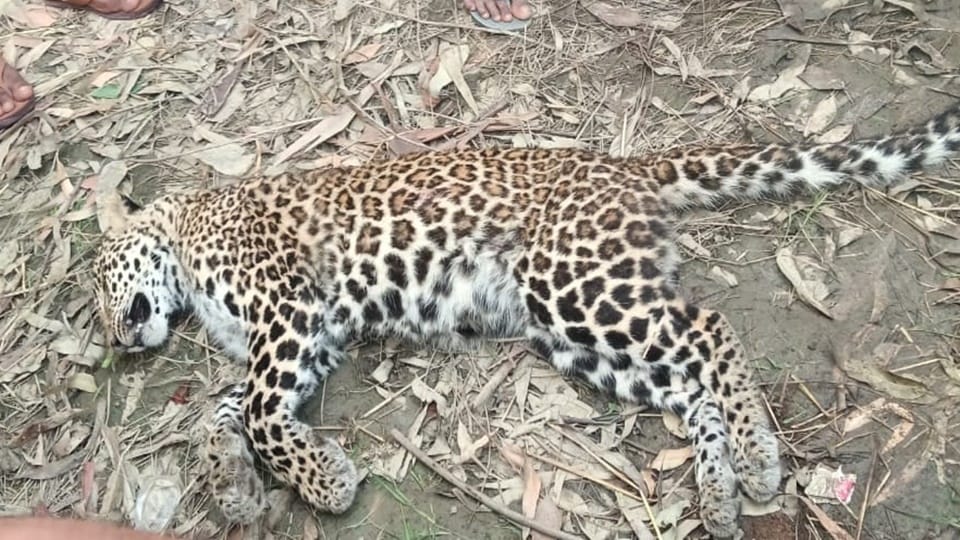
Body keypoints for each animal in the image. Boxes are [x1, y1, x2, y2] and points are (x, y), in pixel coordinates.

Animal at [92, 99, 960, 538]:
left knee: (710, 329)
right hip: (579, 335)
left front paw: (323, 483)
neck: (185, 231)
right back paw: (718, 494)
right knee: (688, 383)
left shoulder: (289, 314)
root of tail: (619, 166)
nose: (114, 338)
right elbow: (222, 411)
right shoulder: (306, 342)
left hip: (576, 288)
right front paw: (232, 485)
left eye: (99, 283)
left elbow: (262, 416)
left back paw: (754, 458)